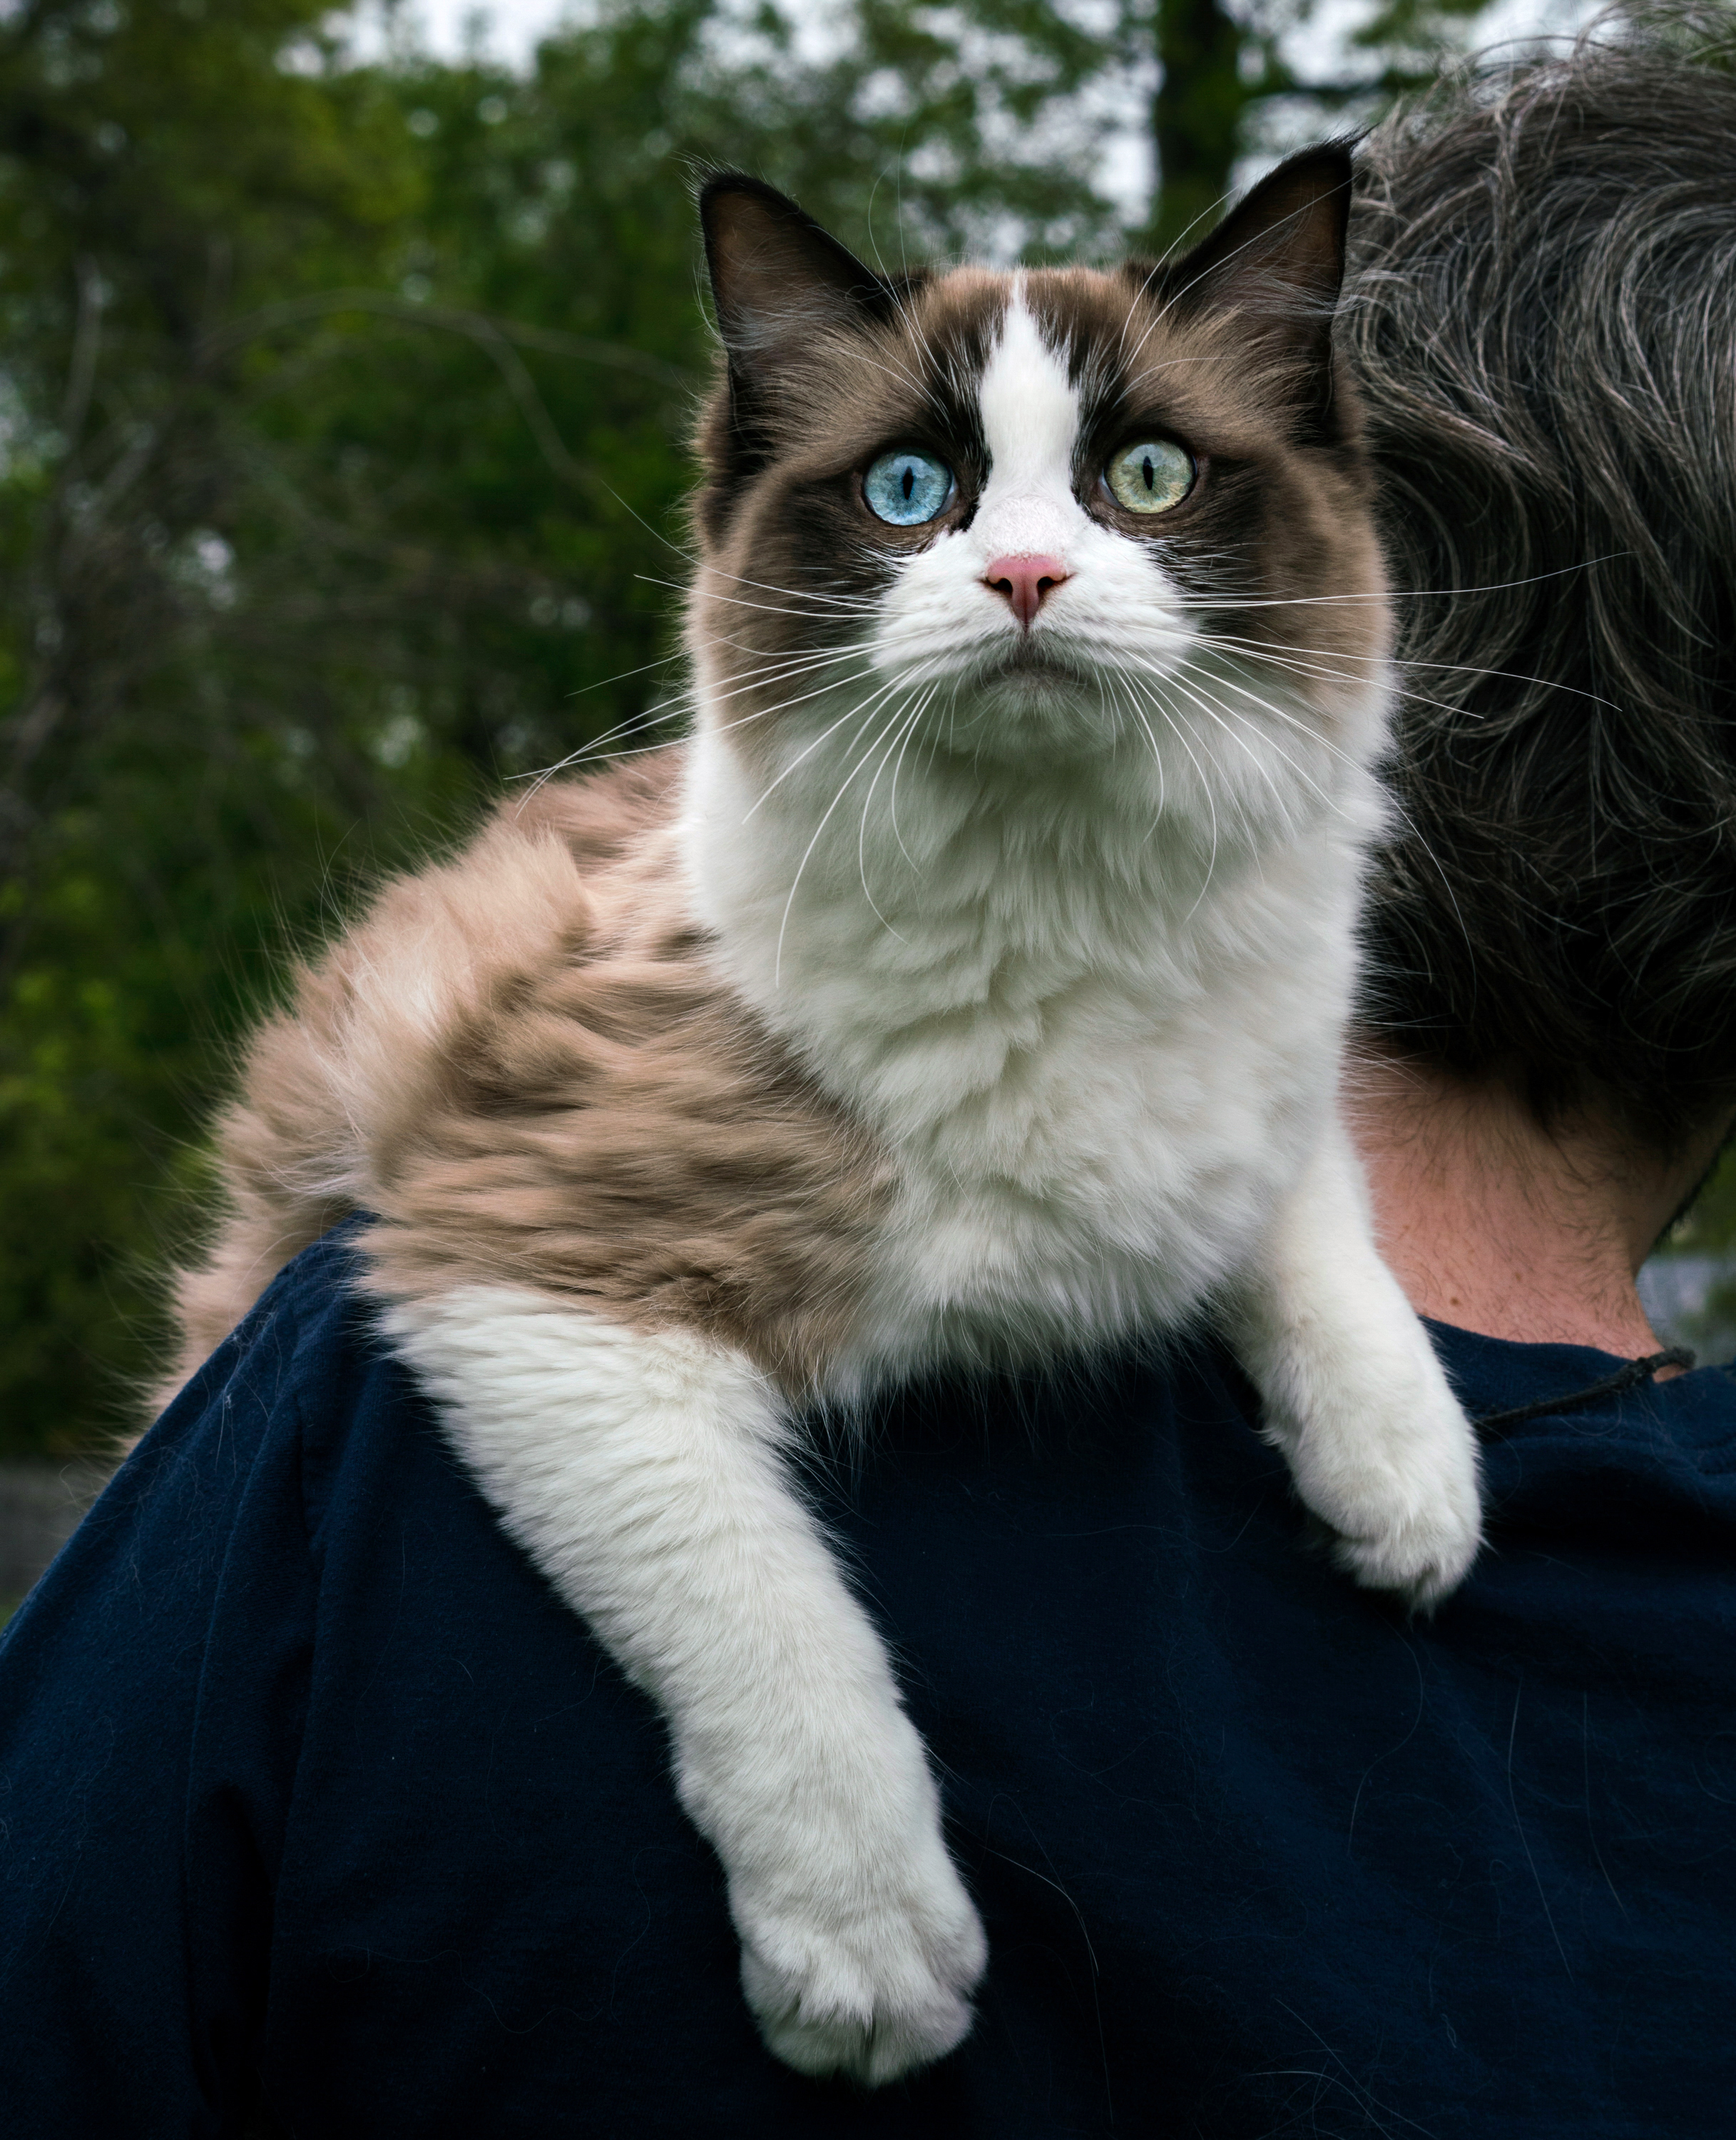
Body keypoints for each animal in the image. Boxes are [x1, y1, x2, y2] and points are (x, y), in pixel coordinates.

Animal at [170, 155, 1489, 2089]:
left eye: (1144, 479)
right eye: (908, 495)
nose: (1021, 575)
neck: (1052, 903)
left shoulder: (1259, 1101)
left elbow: (1310, 1219)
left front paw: (1405, 1489)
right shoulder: (526, 1272)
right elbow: (781, 1623)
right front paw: (870, 1964)